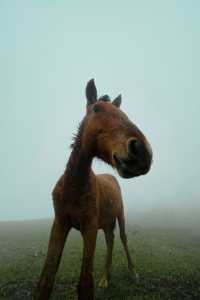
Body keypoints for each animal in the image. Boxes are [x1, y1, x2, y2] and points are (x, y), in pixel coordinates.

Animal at [35, 78, 152, 298]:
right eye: (96, 108)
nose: (142, 151)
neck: (73, 187)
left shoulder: (89, 228)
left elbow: (85, 283)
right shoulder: (60, 224)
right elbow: (46, 280)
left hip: (119, 216)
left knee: (122, 239)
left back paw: (133, 273)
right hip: (105, 224)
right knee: (110, 241)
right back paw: (106, 277)